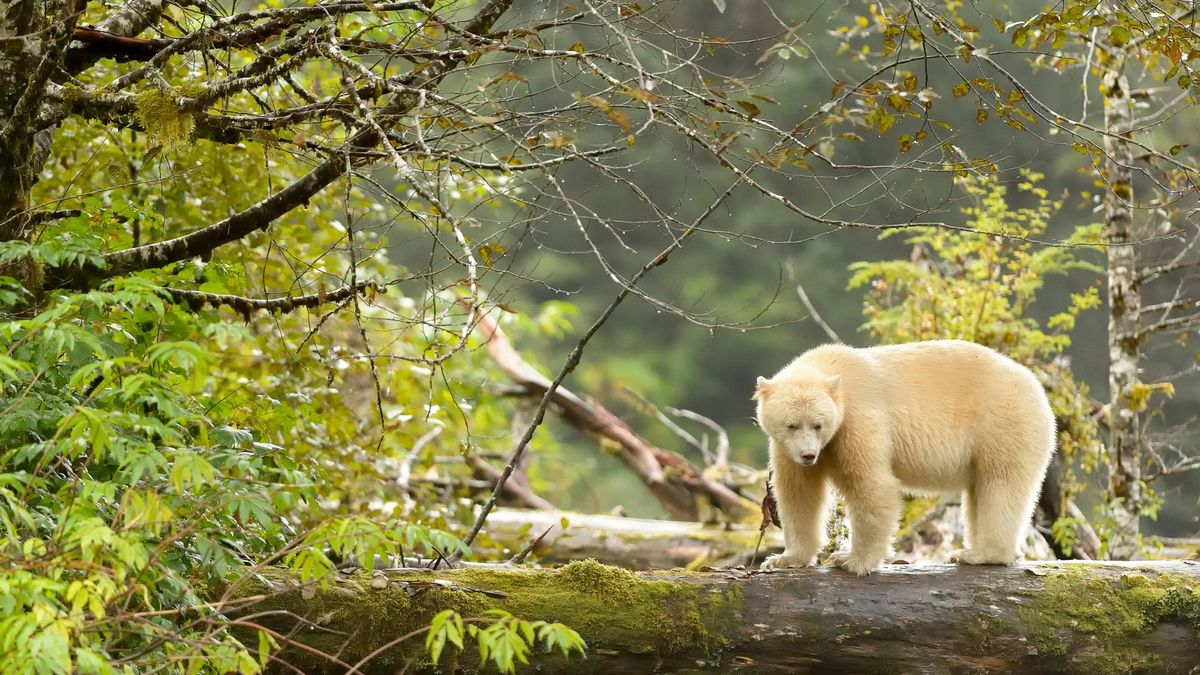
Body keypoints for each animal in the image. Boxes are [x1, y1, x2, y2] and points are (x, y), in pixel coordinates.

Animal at [755, 340, 1055, 576]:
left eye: (818, 424)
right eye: (792, 425)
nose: (808, 455)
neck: (832, 368)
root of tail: (1038, 390)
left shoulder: (858, 419)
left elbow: (871, 485)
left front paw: (852, 560)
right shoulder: (787, 449)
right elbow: (799, 494)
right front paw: (783, 559)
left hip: (1003, 424)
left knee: (1000, 484)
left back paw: (982, 554)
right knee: (979, 490)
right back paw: (969, 551)